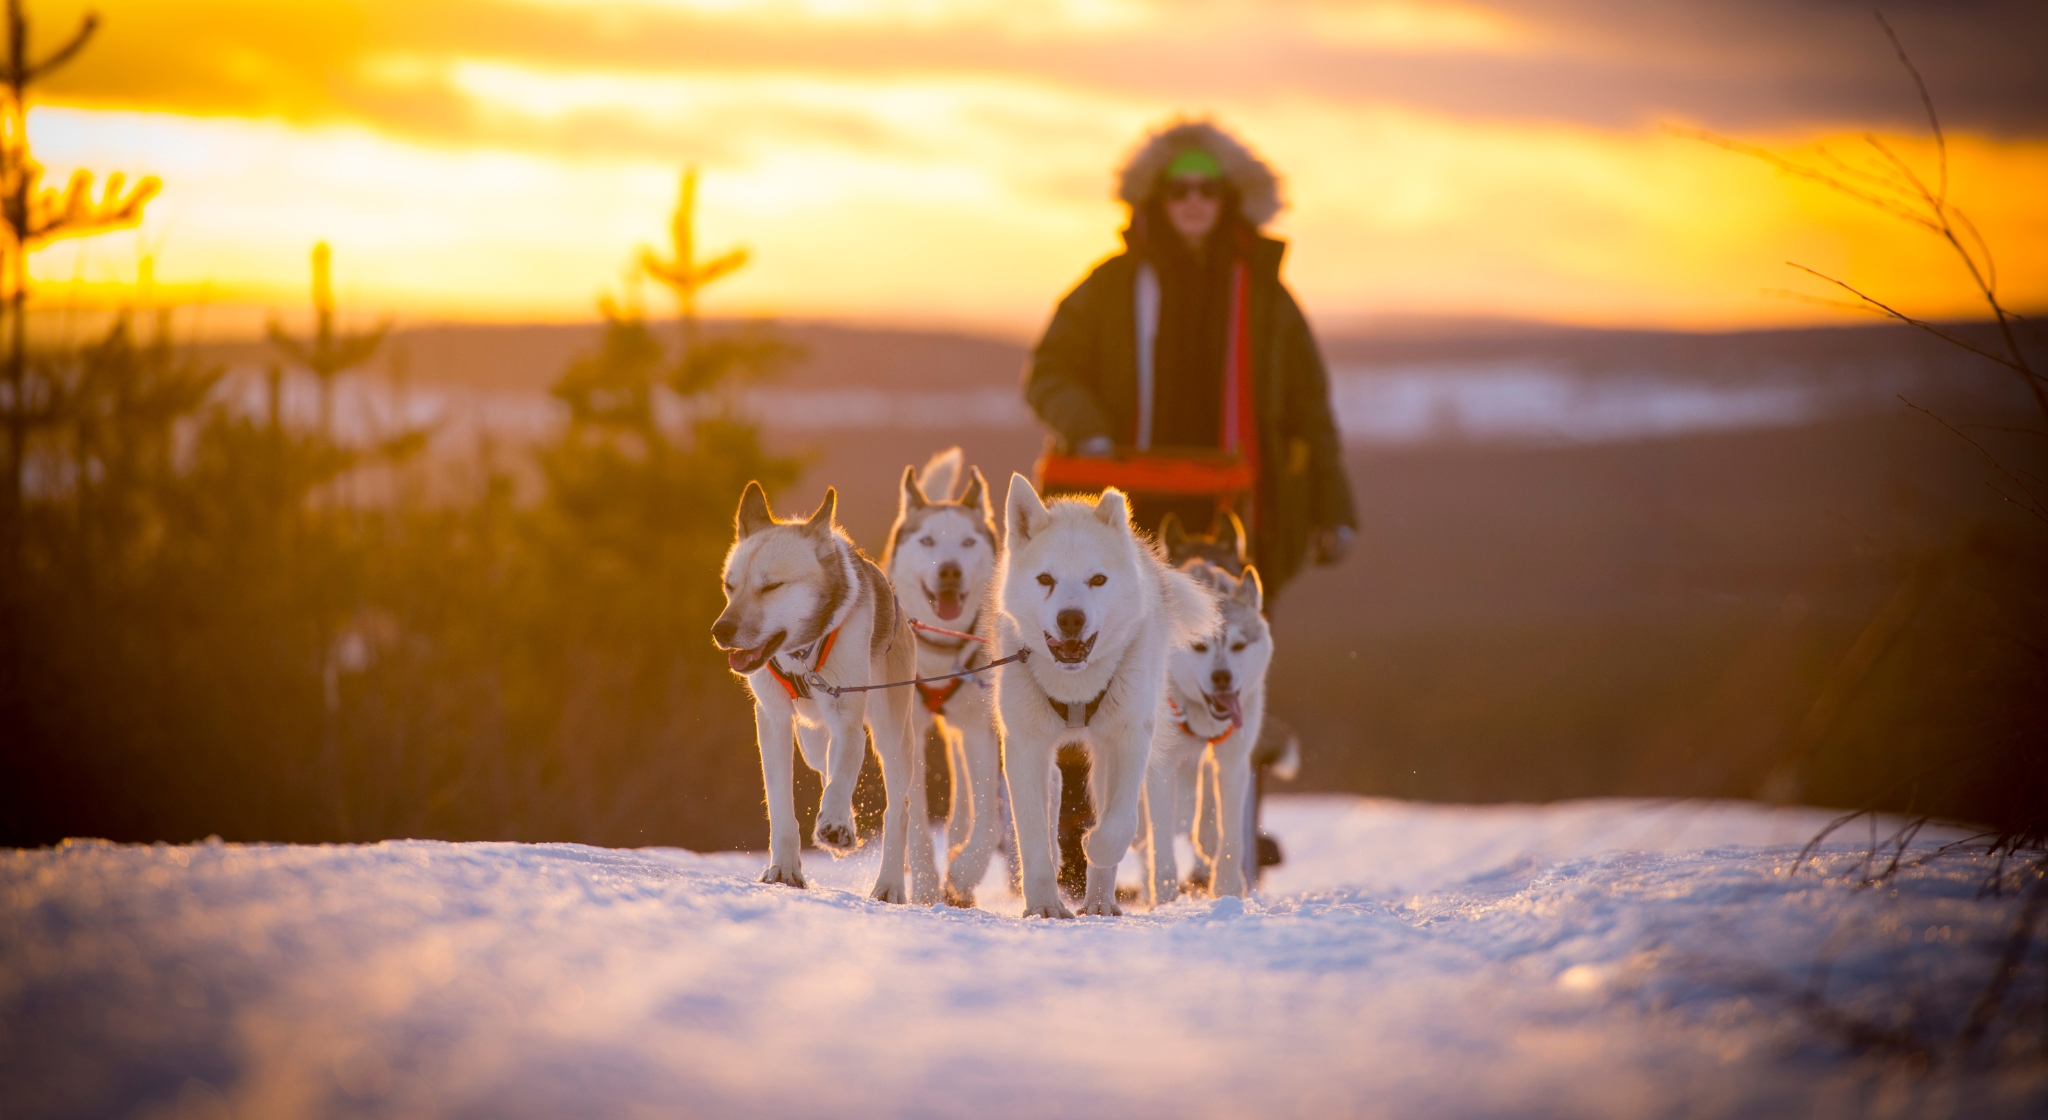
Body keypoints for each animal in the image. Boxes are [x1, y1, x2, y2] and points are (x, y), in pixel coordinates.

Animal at [704, 481, 929, 900]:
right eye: (730, 585)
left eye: (771, 586)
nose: (720, 631)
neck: (801, 658)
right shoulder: (774, 720)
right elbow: (781, 801)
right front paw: (784, 868)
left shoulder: (847, 716)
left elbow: (844, 771)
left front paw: (836, 823)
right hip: (809, 738)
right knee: (823, 763)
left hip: (892, 735)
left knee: (897, 807)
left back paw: (888, 882)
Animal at [880, 448, 1007, 913]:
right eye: (928, 542)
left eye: (968, 543)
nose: (950, 571)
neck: (940, 648)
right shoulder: (909, 732)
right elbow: (914, 819)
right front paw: (924, 888)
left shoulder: (981, 729)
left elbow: (987, 820)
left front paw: (963, 874)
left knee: (966, 809)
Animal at [991, 475, 1212, 921]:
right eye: (1045, 579)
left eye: (1097, 580)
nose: (1070, 618)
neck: (1074, 686)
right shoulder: (1024, 745)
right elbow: (1032, 836)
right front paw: (1043, 905)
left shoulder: (1128, 738)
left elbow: (1119, 825)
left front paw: (1094, 846)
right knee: (1052, 791)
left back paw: (1099, 902)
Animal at [1138, 556, 1261, 900]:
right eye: (1199, 645)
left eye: (1238, 645)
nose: (1222, 677)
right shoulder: (1161, 767)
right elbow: (1161, 837)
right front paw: (1165, 898)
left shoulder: (1233, 759)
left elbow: (1230, 830)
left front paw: (1228, 888)